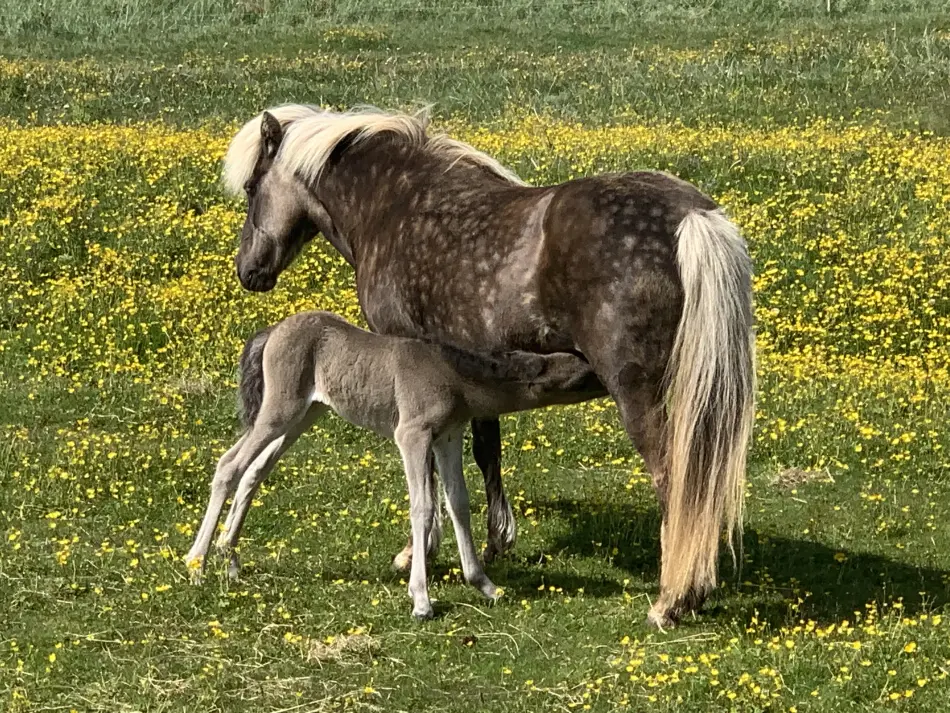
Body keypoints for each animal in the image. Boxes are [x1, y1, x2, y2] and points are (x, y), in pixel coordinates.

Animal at [184, 310, 603, 619]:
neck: (453, 374)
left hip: (305, 413)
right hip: (280, 410)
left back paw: (230, 559)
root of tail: (271, 331)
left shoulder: (448, 436)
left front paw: (485, 585)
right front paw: (421, 600)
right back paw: (197, 563)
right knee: (229, 465)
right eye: (585, 374)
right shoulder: (412, 434)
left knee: (255, 471)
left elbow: (458, 503)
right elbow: (423, 507)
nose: (608, 377)